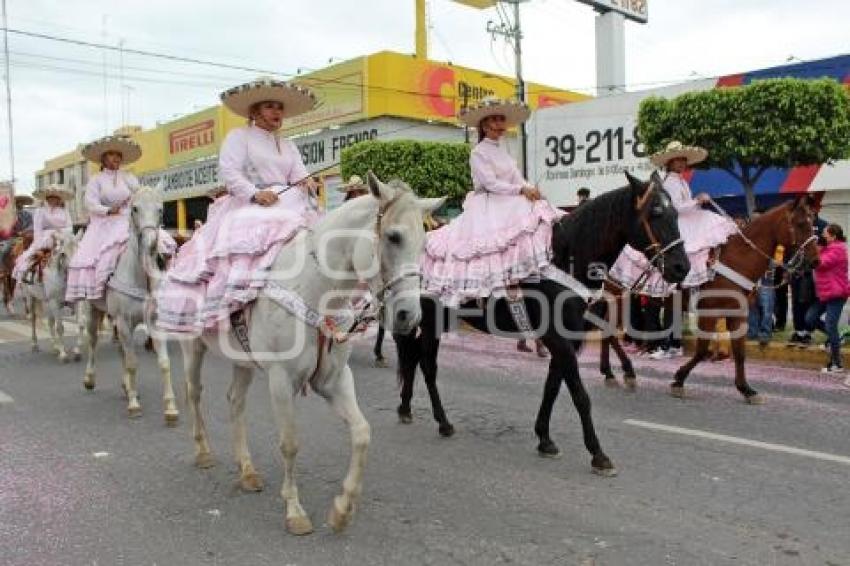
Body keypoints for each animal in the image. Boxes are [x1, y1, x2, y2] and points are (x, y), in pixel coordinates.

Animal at [15, 229, 86, 362]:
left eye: (79, 250)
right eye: (63, 254)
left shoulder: (76, 301)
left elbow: (80, 324)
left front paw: (77, 352)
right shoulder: (55, 302)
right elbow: (60, 328)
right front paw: (63, 354)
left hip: (48, 302)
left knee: (50, 322)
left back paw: (55, 347)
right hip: (32, 298)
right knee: (34, 319)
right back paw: (35, 344)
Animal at [81, 186, 179, 426]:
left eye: (161, 209)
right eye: (134, 208)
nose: (151, 244)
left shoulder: (154, 323)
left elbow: (164, 363)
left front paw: (170, 408)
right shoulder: (124, 321)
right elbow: (133, 362)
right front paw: (134, 406)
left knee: (121, 351)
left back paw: (126, 386)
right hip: (93, 312)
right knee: (93, 342)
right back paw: (89, 379)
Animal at [178, 173, 444, 536]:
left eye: (425, 243)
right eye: (393, 236)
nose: (409, 317)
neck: (314, 289)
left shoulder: (334, 380)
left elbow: (362, 434)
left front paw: (342, 509)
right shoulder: (281, 381)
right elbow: (290, 444)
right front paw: (295, 511)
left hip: (242, 360)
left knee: (235, 401)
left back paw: (247, 471)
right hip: (192, 347)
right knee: (194, 393)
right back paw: (203, 451)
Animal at [392, 172, 688, 474]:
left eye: (676, 213)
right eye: (655, 213)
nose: (682, 268)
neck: (566, 257)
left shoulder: (566, 340)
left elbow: (553, 387)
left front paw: (544, 438)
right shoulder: (558, 339)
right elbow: (579, 395)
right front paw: (598, 454)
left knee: (414, 357)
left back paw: (407, 408)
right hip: (430, 318)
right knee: (426, 364)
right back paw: (442, 421)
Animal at [600, 197, 820, 406]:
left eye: (813, 223)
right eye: (800, 223)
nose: (815, 261)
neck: (737, 259)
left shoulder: (737, 315)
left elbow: (739, 352)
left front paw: (747, 390)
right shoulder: (710, 312)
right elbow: (702, 350)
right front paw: (679, 380)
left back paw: (609, 373)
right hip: (619, 294)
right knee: (609, 330)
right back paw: (627, 371)